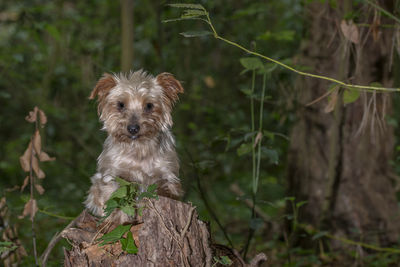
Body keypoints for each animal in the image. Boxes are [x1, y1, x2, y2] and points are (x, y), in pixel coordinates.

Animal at [85, 70, 184, 219]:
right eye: (120, 104)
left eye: (149, 105)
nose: (133, 128)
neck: (138, 147)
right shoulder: (112, 175)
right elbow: (114, 198)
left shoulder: (167, 175)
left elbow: (165, 189)